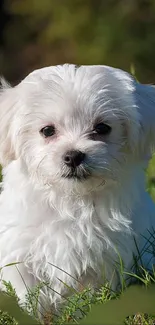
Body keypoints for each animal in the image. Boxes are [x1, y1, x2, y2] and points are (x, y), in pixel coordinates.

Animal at [0, 62, 155, 308]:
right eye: (47, 131)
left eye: (102, 128)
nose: (73, 156)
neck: (71, 200)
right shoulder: (20, 254)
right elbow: (27, 294)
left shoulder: (104, 260)